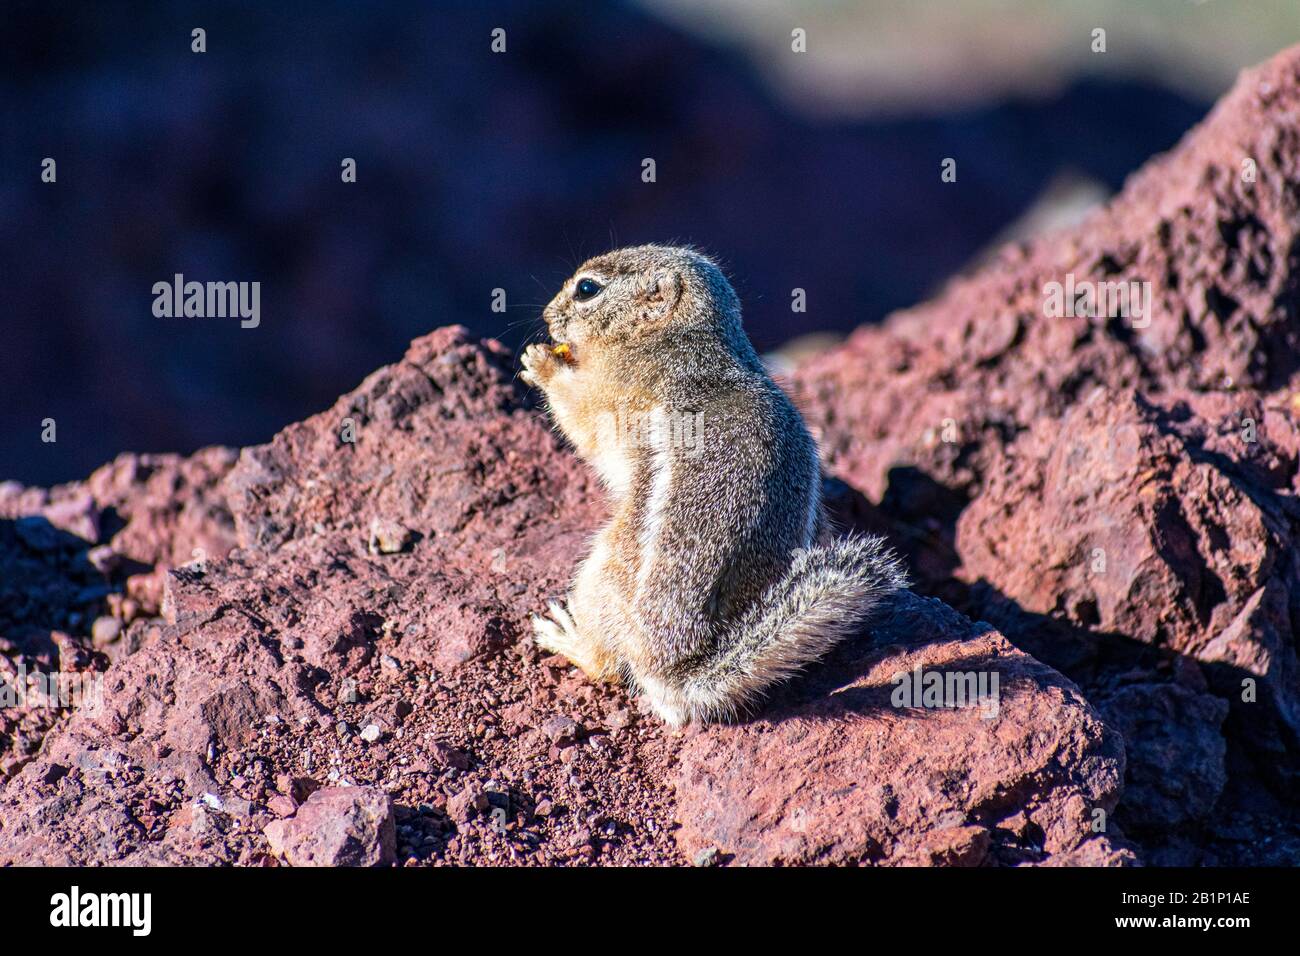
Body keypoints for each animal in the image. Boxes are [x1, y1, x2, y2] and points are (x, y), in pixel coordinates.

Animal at [520, 244, 907, 726]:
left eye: (587, 289)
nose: (548, 316)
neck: (681, 339)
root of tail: (675, 671)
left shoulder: (614, 396)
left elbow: (583, 418)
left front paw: (541, 363)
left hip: (600, 571)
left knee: (604, 664)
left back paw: (565, 635)